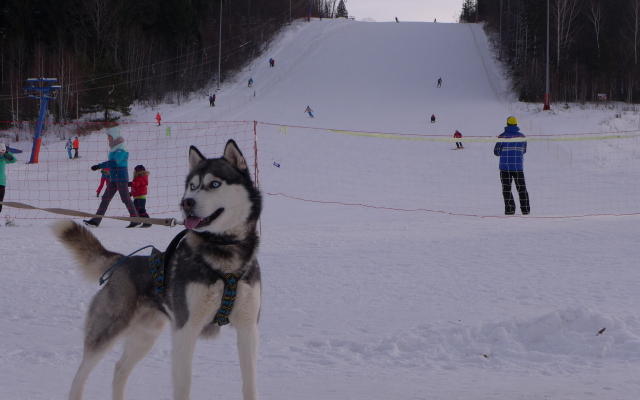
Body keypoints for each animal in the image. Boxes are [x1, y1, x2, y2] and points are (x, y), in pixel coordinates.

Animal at [53, 139, 262, 398]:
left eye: (215, 183)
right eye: (192, 186)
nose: (186, 202)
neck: (225, 257)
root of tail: (123, 261)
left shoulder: (248, 329)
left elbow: (250, 384)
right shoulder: (185, 329)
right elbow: (184, 384)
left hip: (146, 336)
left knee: (119, 369)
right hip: (107, 329)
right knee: (81, 373)